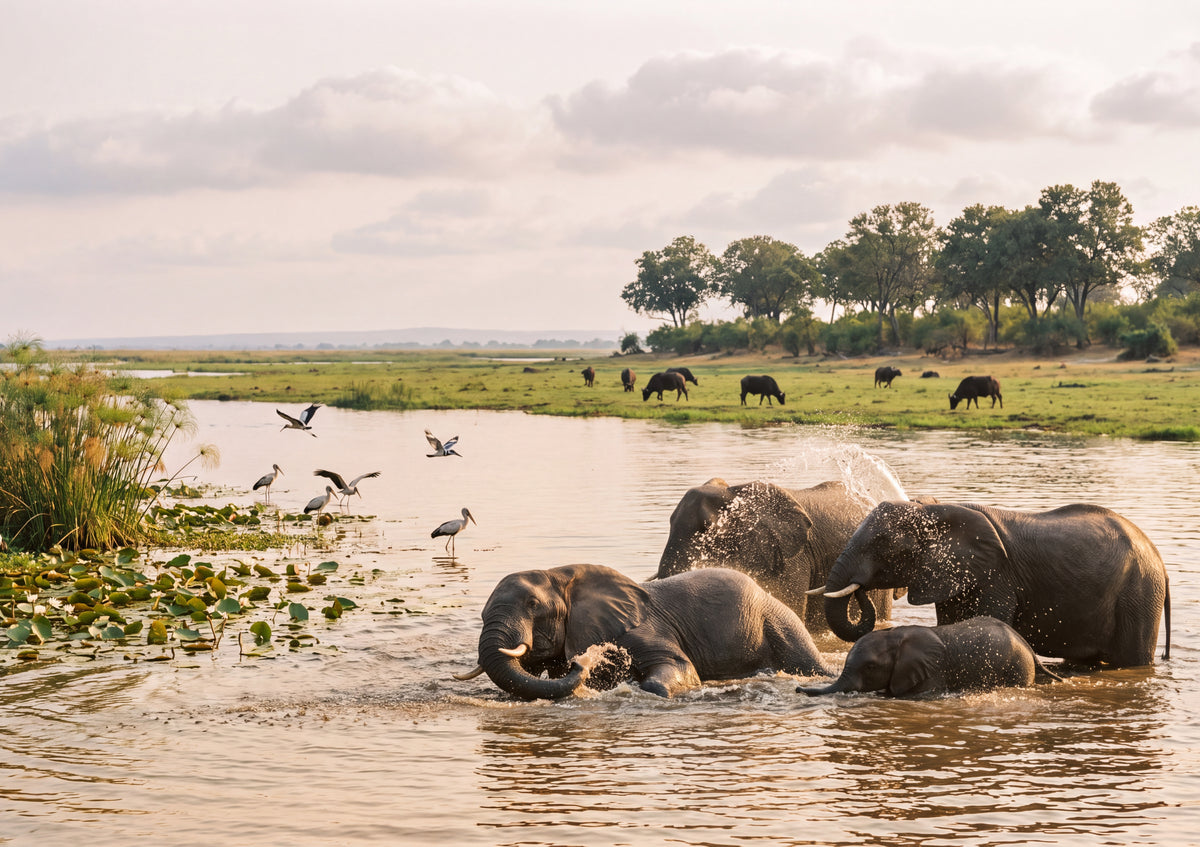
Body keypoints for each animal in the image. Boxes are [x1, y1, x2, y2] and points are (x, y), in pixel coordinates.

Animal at [454, 564, 832, 700]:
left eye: (533, 604)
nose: (583, 662)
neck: (561, 574)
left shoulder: (641, 628)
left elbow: (680, 669)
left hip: (779, 621)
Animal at [798, 616, 1062, 698]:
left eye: (870, 667)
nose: (798, 688)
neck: (896, 636)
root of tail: (1028, 648)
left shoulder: (931, 672)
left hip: (1017, 668)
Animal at [813, 500, 1171, 668]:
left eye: (884, 544)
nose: (861, 589)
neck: (933, 510)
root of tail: (1159, 561)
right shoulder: (956, 575)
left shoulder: (993, 577)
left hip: (1139, 593)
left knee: (1131, 659)